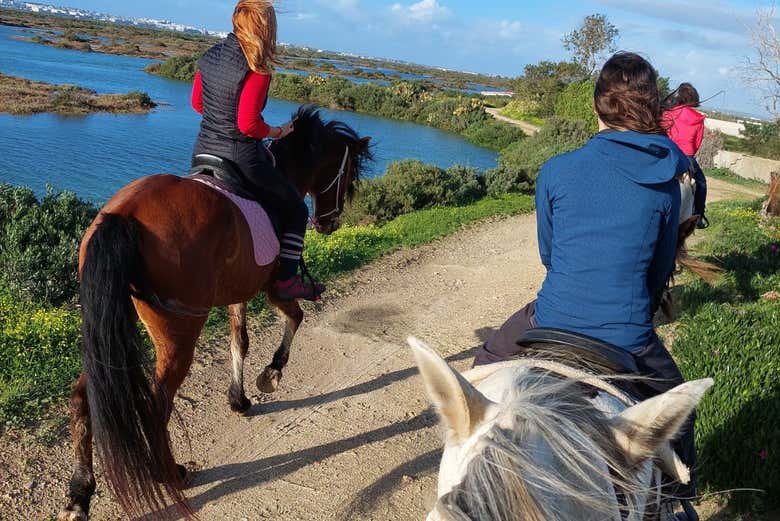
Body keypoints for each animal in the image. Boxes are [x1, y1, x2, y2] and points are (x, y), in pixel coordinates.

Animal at [57, 103, 372, 516]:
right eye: (347, 175)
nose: (329, 223)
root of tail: (123, 215)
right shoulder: (272, 289)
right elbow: (295, 317)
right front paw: (271, 374)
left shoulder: (238, 290)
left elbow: (240, 341)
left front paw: (239, 399)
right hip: (177, 334)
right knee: (156, 406)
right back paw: (170, 474)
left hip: (107, 331)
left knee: (83, 397)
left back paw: (80, 493)